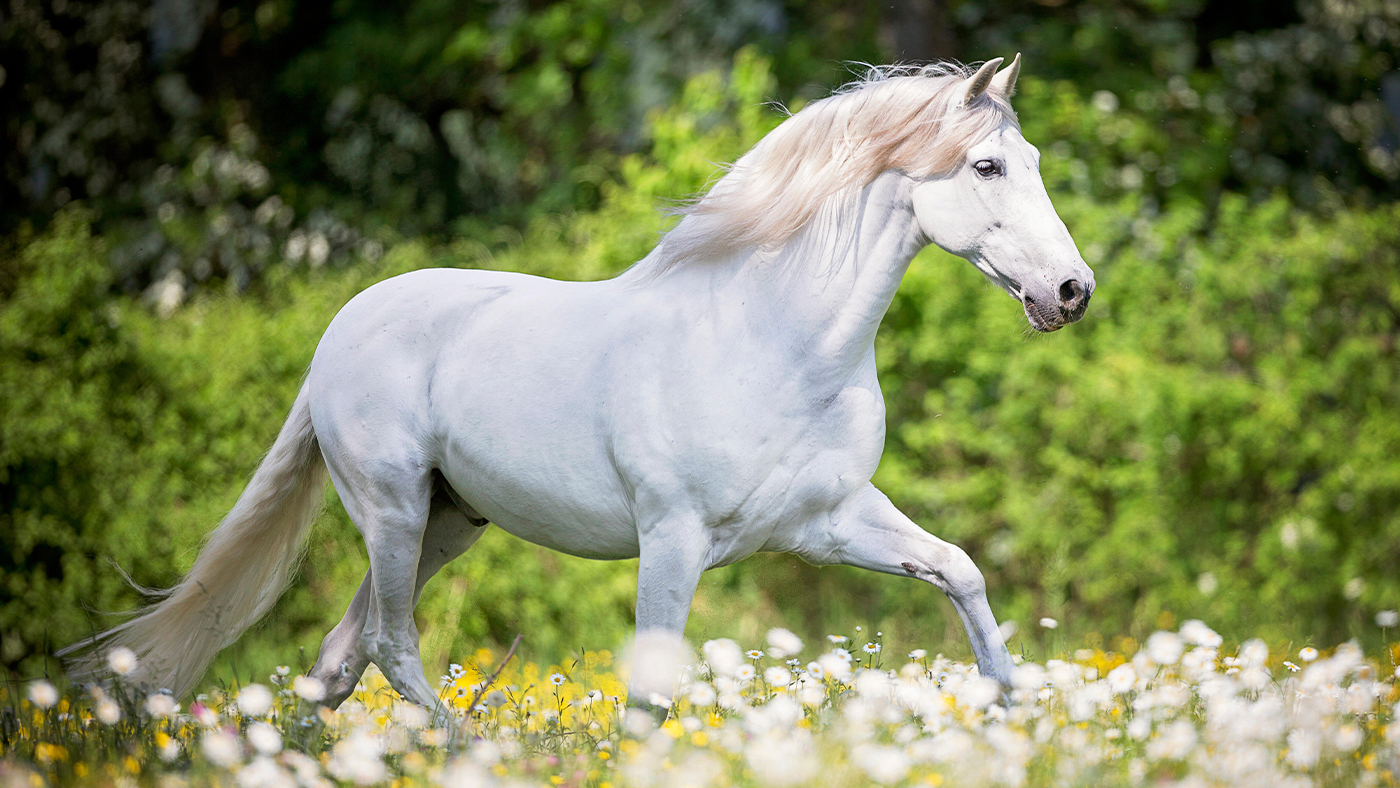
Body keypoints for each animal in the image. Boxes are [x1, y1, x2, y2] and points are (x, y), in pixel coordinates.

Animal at [63, 55, 1094, 713]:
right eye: (987, 165)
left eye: (1038, 163)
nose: (1071, 292)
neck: (774, 346)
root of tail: (339, 335)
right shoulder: (673, 541)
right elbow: (651, 695)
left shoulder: (828, 522)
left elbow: (960, 570)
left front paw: (1011, 713)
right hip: (392, 512)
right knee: (390, 648)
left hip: (448, 522)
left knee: (336, 659)